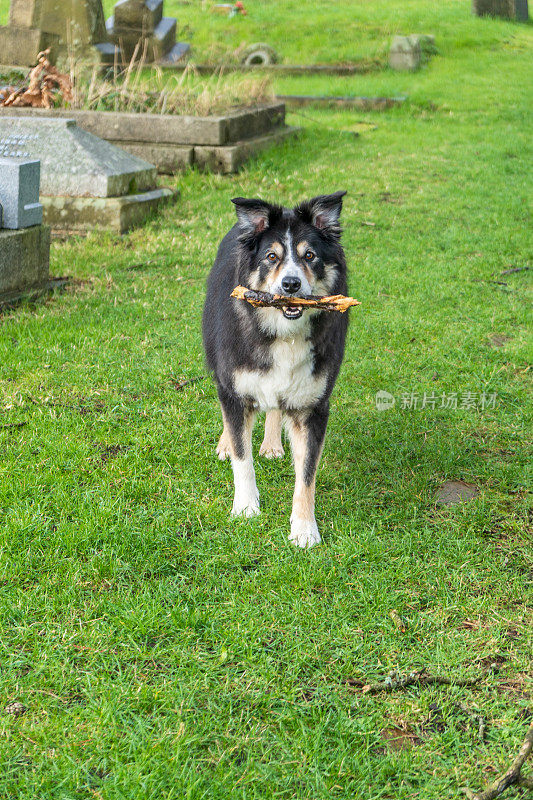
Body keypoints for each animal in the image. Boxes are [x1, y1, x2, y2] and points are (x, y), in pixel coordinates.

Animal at [201, 192, 350, 552]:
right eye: (271, 257)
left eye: (309, 255)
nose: (291, 284)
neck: (284, 333)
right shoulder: (235, 386)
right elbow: (242, 457)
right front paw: (245, 507)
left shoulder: (313, 407)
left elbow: (307, 474)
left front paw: (305, 529)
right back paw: (226, 443)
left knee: (273, 407)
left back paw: (271, 444)